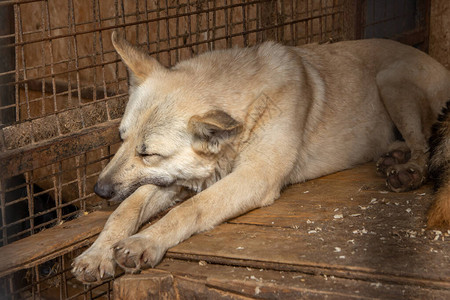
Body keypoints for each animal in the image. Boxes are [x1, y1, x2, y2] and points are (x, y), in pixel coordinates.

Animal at [72, 33, 450, 284]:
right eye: (122, 139)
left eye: (147, 152)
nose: (99, 190)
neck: (252, 108)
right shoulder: (175, 179)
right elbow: (125, 211)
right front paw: (96, 253)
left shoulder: (255, 176)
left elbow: (190, 209)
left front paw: (145, 241)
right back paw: (392, 155)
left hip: (392, 81)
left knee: (424, 146)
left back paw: (408, 171)